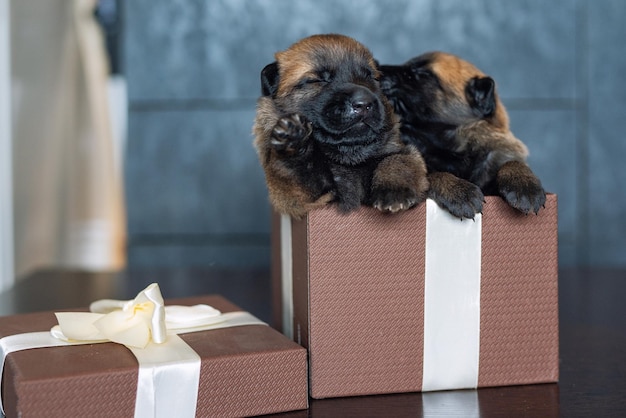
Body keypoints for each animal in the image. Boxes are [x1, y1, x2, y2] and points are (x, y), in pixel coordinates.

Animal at [378, 51, 544, 219]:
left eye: (421, 75)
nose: (377, 66)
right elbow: (434, 174)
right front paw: (459, 191)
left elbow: (512, 163)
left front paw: (524, 186)